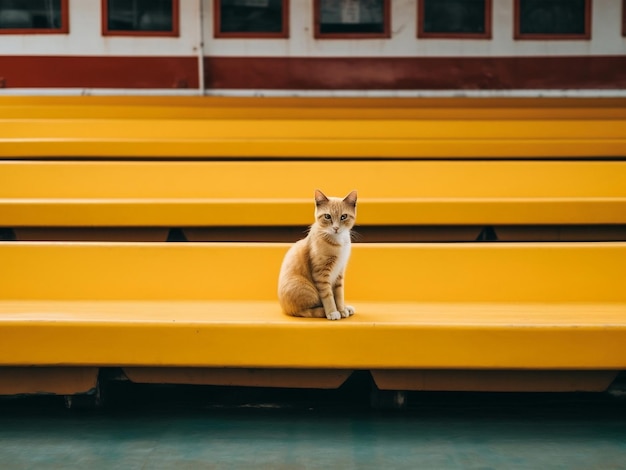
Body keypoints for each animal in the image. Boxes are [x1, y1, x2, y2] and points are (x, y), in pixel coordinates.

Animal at [276, 189, 356, 322]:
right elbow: (328, 296)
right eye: (327, 216)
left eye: (343, 216)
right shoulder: (321, 274)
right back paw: (323, 311)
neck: (337, 242)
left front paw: (341, 309)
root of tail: (283, 307)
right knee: (302, 311)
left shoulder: (339, 271)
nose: (336, 228)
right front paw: (333, 312)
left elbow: (339, 294)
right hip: (306, 288)